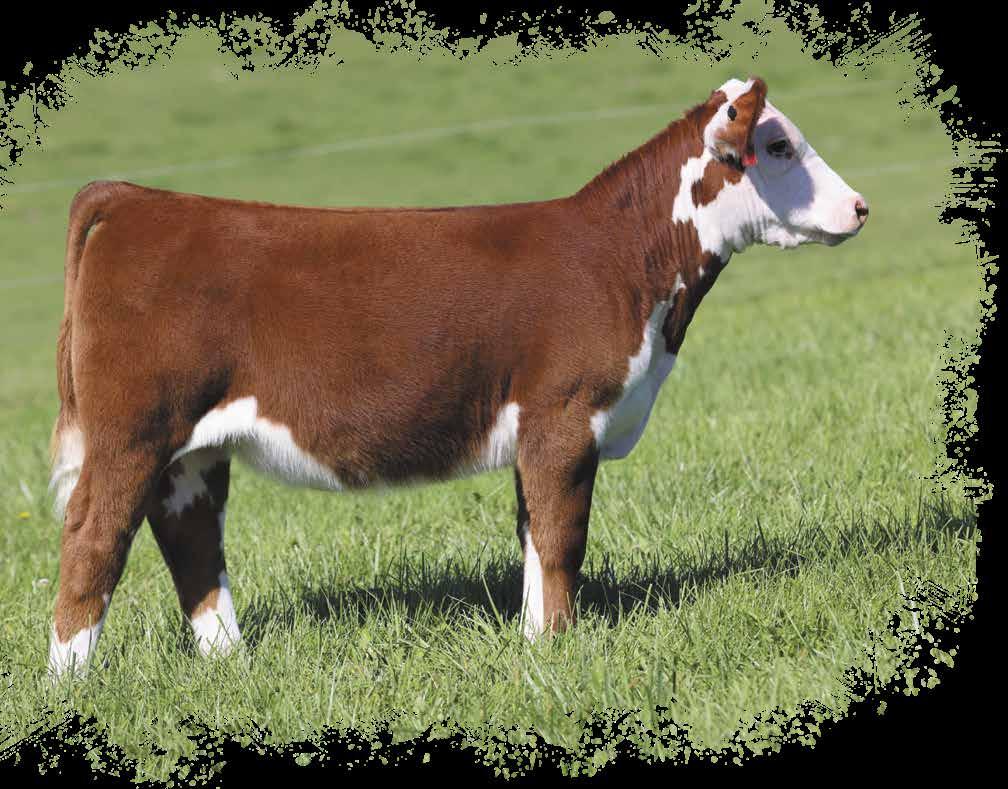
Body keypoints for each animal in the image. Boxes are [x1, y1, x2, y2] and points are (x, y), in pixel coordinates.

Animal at [47, 77, 868, 678]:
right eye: (778, 143)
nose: (860, 206)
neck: (626, 265)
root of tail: (137, 198)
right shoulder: (567, 414)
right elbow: (562, 539)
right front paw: (557, 649)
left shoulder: (540, 429)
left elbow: (534, 538)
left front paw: (535, 644)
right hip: (132, 431)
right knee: (93, 538)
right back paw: (69, 682)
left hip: (190, 448)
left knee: (190, 541)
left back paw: (232, 664)